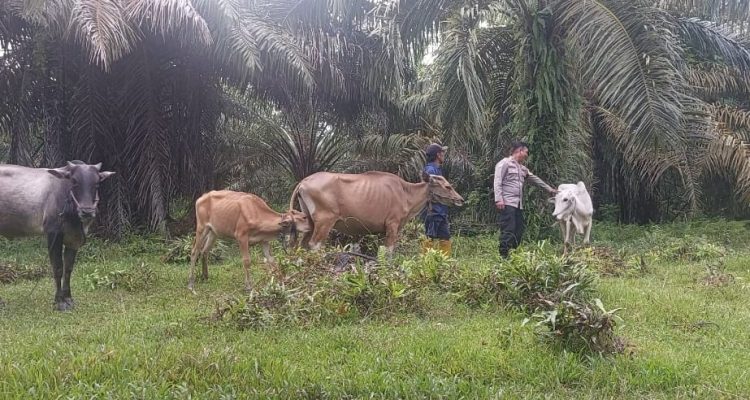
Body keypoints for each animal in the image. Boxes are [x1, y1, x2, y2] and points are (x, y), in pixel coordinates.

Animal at [0, 161, 114, 310]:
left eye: (97, 183)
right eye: (74, 181)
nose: (87, 212)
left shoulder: (73, 239)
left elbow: (68, 268)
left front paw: (69, 299)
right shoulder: (53, 234)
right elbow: (58, 268)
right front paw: (59, 302)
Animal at [290, 172, 462, 253]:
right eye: (448, 186)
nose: (460, 199)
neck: (405, 192)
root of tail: (304, 181)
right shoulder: (392, 226)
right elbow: (389, 251)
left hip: (310, 222)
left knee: (302, 244)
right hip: (324, 222)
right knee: (314, 245)